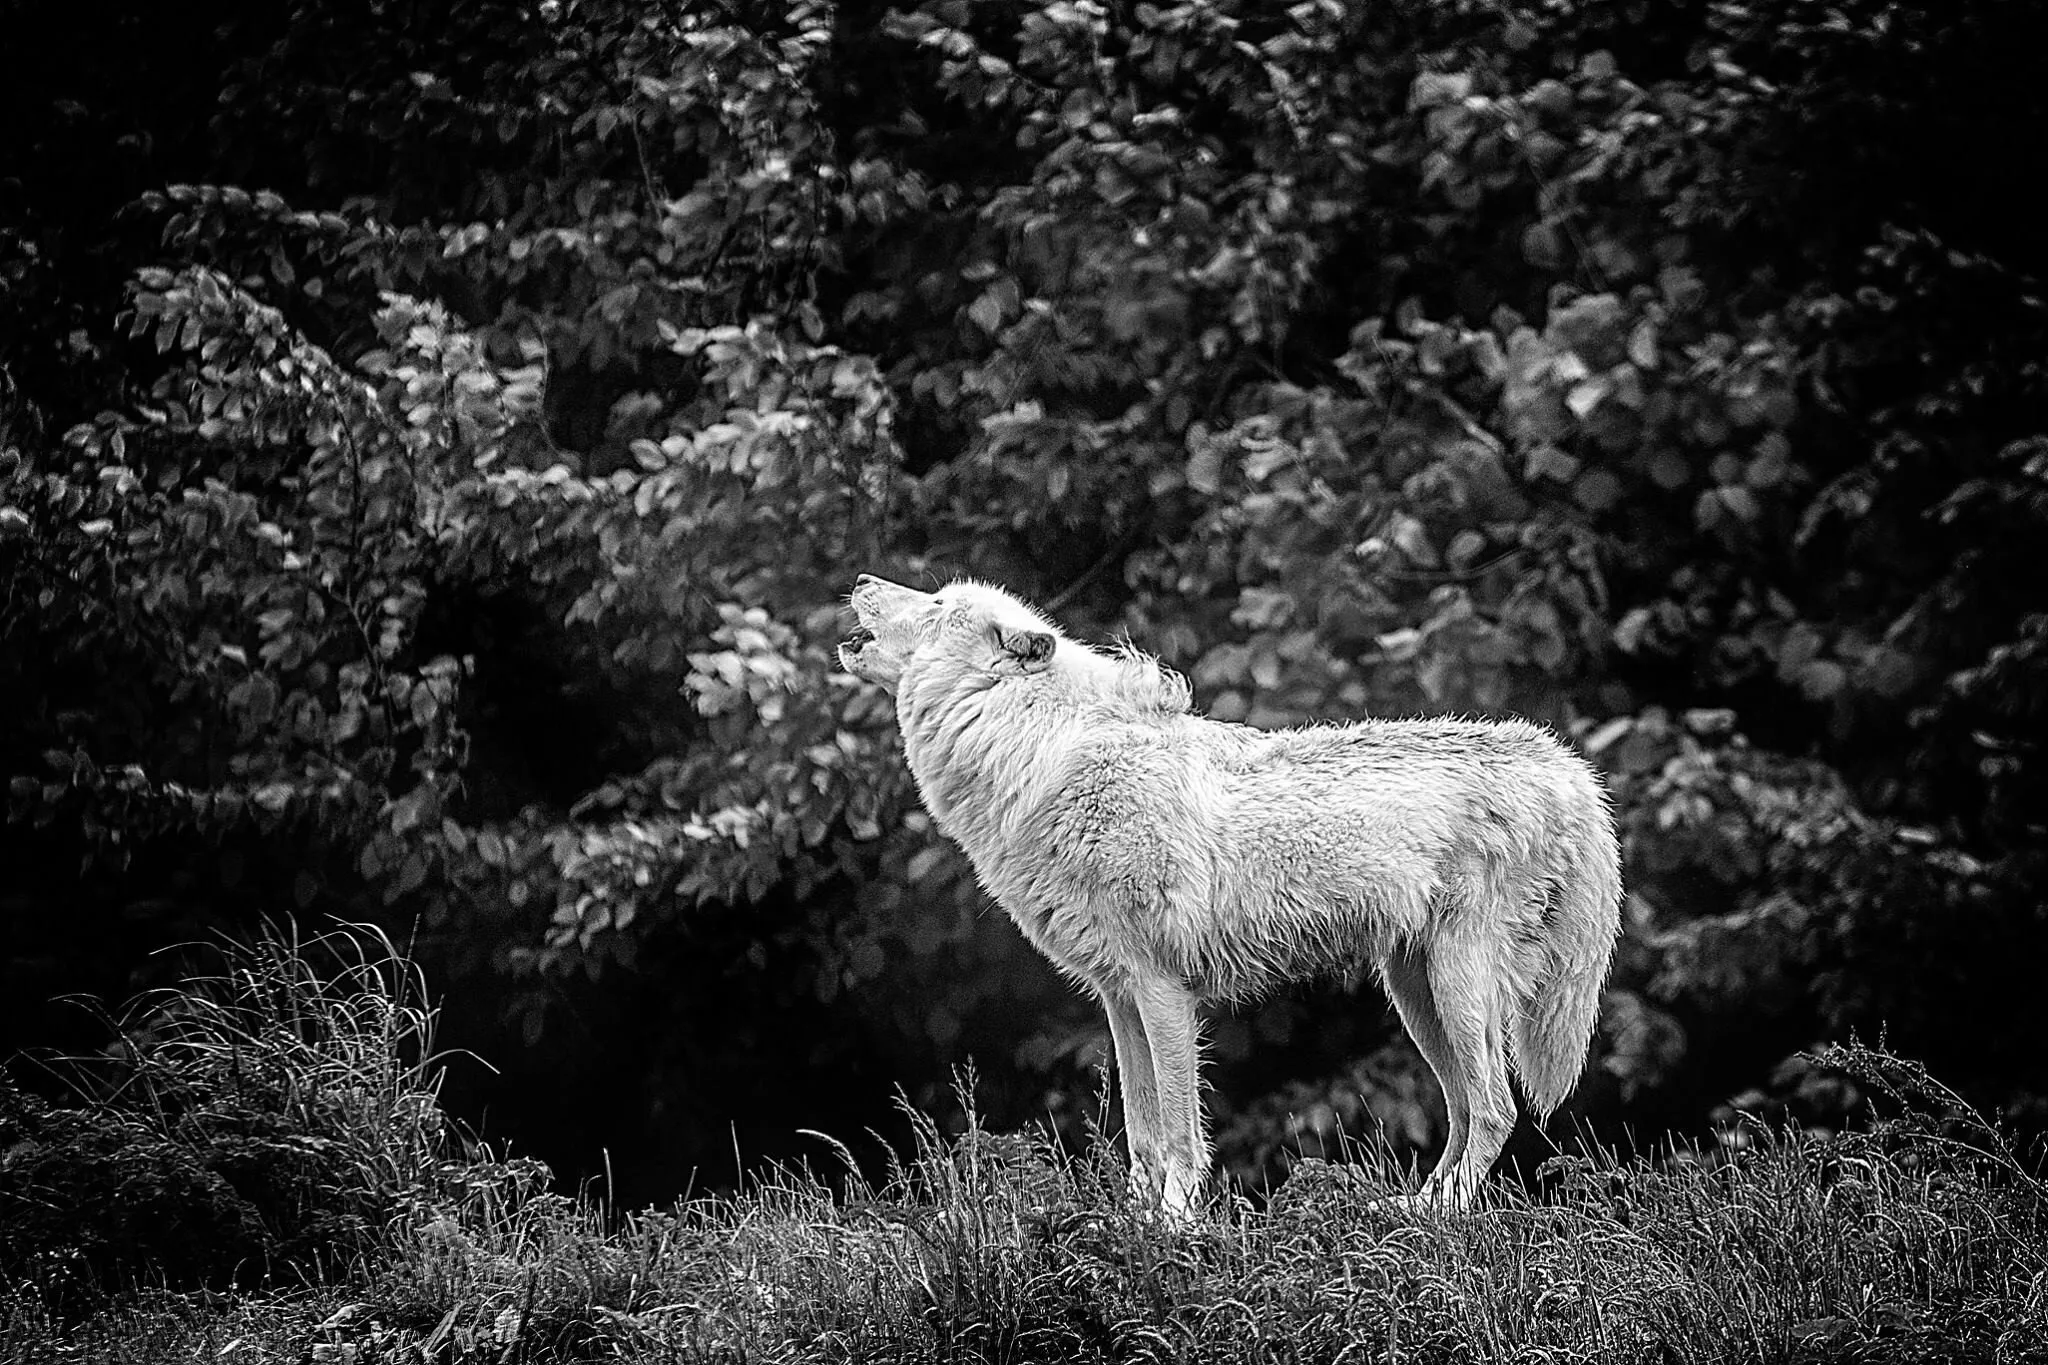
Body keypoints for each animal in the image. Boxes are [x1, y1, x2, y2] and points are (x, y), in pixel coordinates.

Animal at [839, 574, 1622, 1215]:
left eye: (938, 604)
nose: (862, 579)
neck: (1039, 751)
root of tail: (1566, 766)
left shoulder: (1162, 990)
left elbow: (1180, 1133)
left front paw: (1174, 1225)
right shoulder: (1117, 996)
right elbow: (1142, 1135)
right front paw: (1133, 1225)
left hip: (1457, 982)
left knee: (1494, 1108)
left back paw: (1437, 1214)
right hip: (1415, 992)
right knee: (1465, 1108)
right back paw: (1413, 1209)